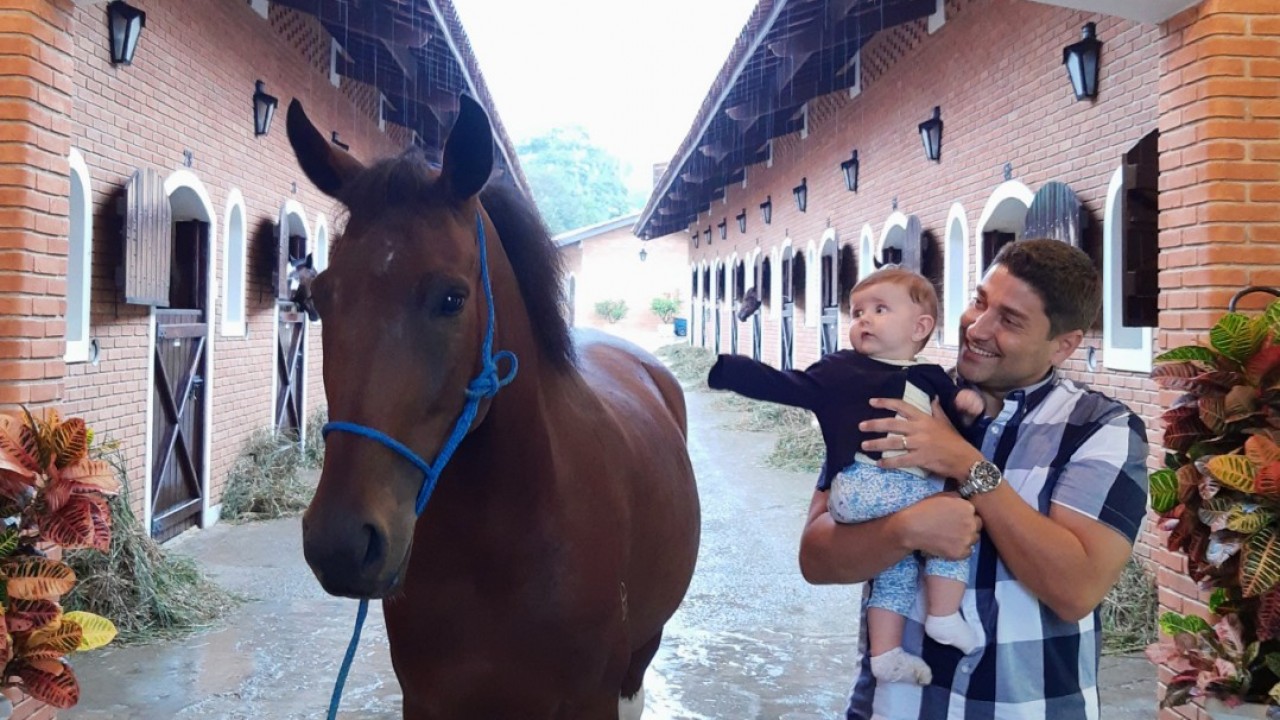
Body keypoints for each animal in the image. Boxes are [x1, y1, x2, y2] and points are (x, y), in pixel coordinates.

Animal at [288, 96, 701, 717]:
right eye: (318, 297)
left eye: (452, 298)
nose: (339, 544)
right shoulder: (428, 700)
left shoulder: (591, 698)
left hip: (640, 655)